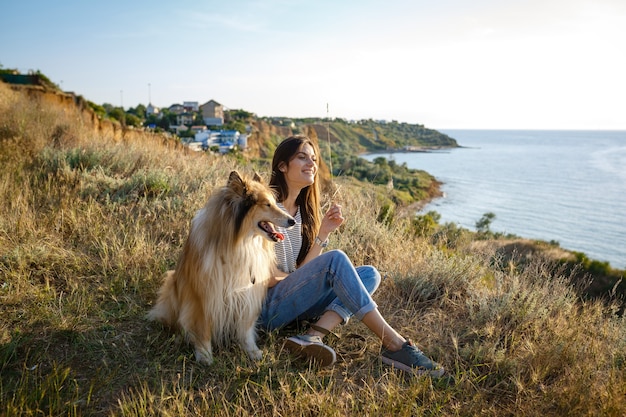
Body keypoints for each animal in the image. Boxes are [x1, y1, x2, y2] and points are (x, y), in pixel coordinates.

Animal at [147, 171, 294, 362]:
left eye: (274, 203)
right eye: (267, 205)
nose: (292, 221)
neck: (239, 243)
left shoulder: (248, 293)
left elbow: (246, 328)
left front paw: (251, 350)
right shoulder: (203, 295)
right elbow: (202, 327)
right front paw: (205, 355)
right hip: (172, 283)